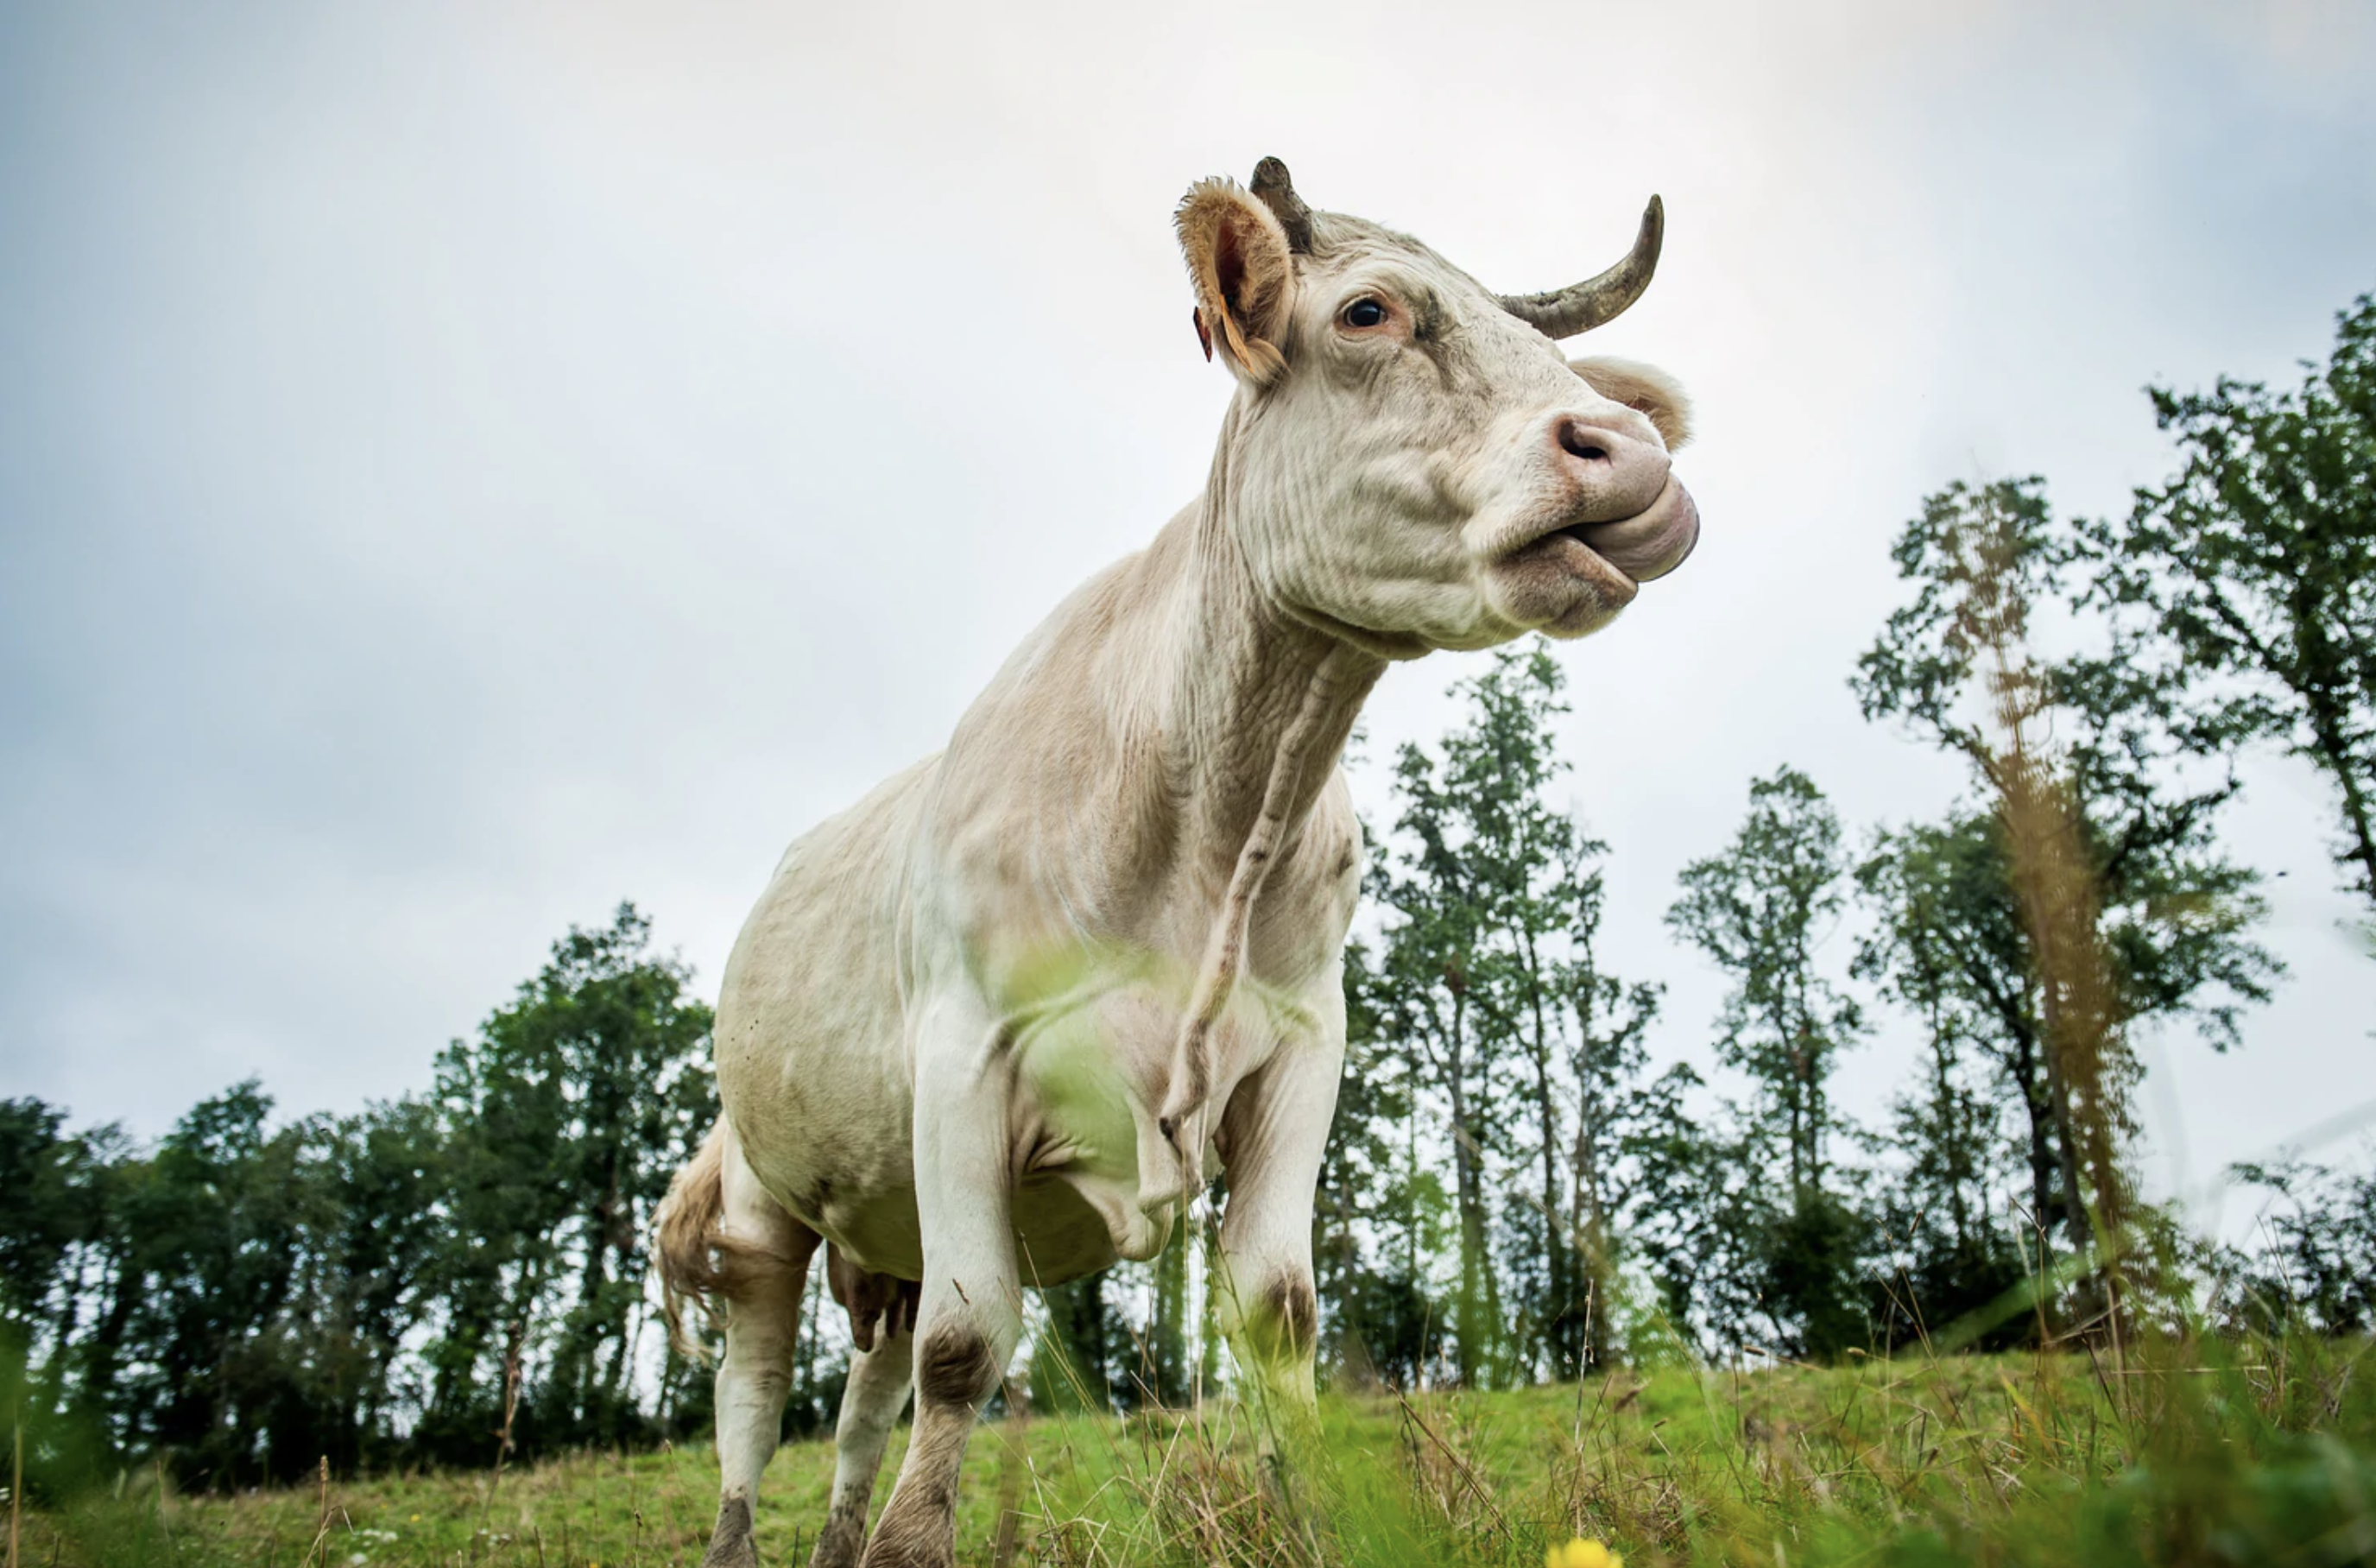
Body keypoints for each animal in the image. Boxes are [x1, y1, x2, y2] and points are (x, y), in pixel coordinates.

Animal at [651, 155, 1691, 1568]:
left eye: (1555, 354)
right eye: (1368, 312)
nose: (1628, 451)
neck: (1216, 812)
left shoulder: (1304, 1052)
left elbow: (1279, 1312)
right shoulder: (962, 1056)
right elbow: (966, 1346)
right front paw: (918, 1545)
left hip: (883, 1218)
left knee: (863, 1400)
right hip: (763, 1191)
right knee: (754, 1393)